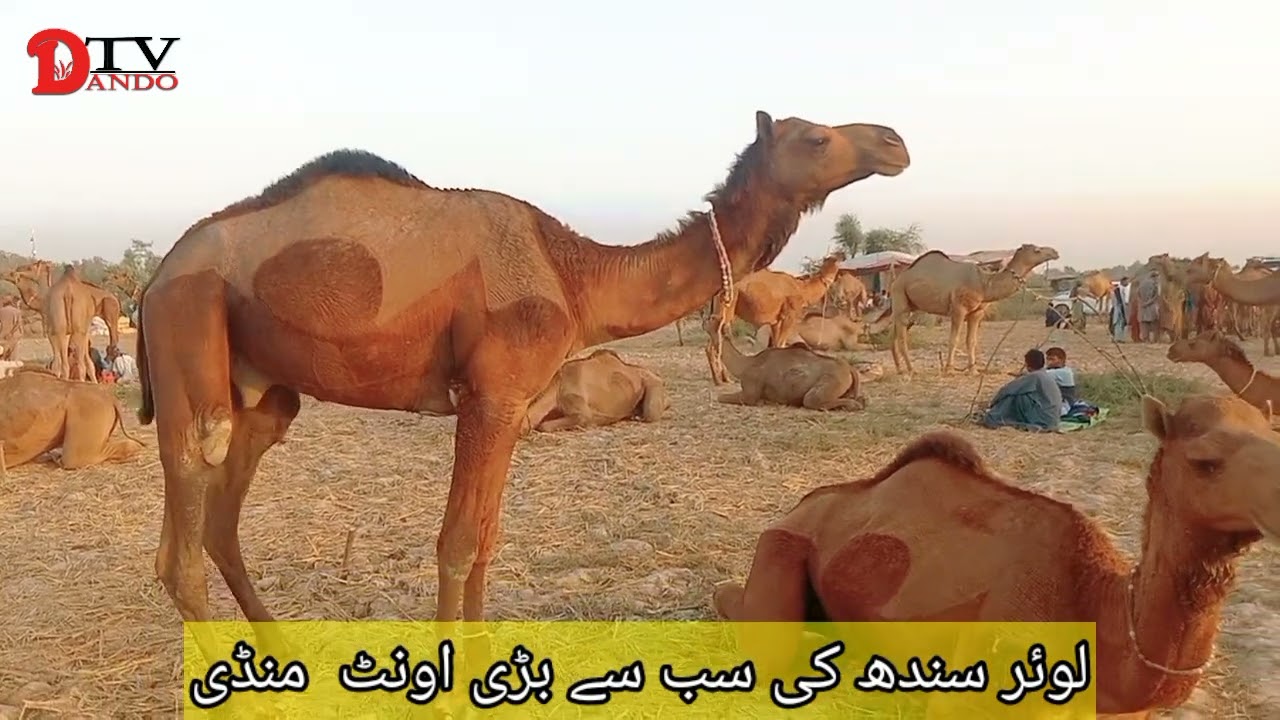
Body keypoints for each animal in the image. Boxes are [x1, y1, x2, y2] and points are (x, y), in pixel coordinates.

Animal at [705, 318, 866, 411]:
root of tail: (850, 369)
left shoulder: (749, 392)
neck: (744, 364)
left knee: (811, 400)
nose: (704, 321)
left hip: (831, 382)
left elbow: (721, 397)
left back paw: (853, 406)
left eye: (712, 322)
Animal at [706, 251, 846, 383]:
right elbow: (781, 344)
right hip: (729, 304)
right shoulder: (789, 316)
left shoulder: (776, 321)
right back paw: (721, 379)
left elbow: (775, 345)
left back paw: (721, 378)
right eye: (834, 258)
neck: (802, 290)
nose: (843, 255)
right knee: (717, 332)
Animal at [888, 243, 1059, 376]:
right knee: (902, 334)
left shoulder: (976, 313)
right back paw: (911, 370)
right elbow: (954, 339)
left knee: (896, 333)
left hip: (908, 305)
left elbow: (971, 341)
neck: (984, 284)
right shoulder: (959, 309)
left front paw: (973, 370)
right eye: (1037, 250)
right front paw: (949, 370)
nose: (1055, 252)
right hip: (900, 297)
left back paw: (899, 369)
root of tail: (896, 280)